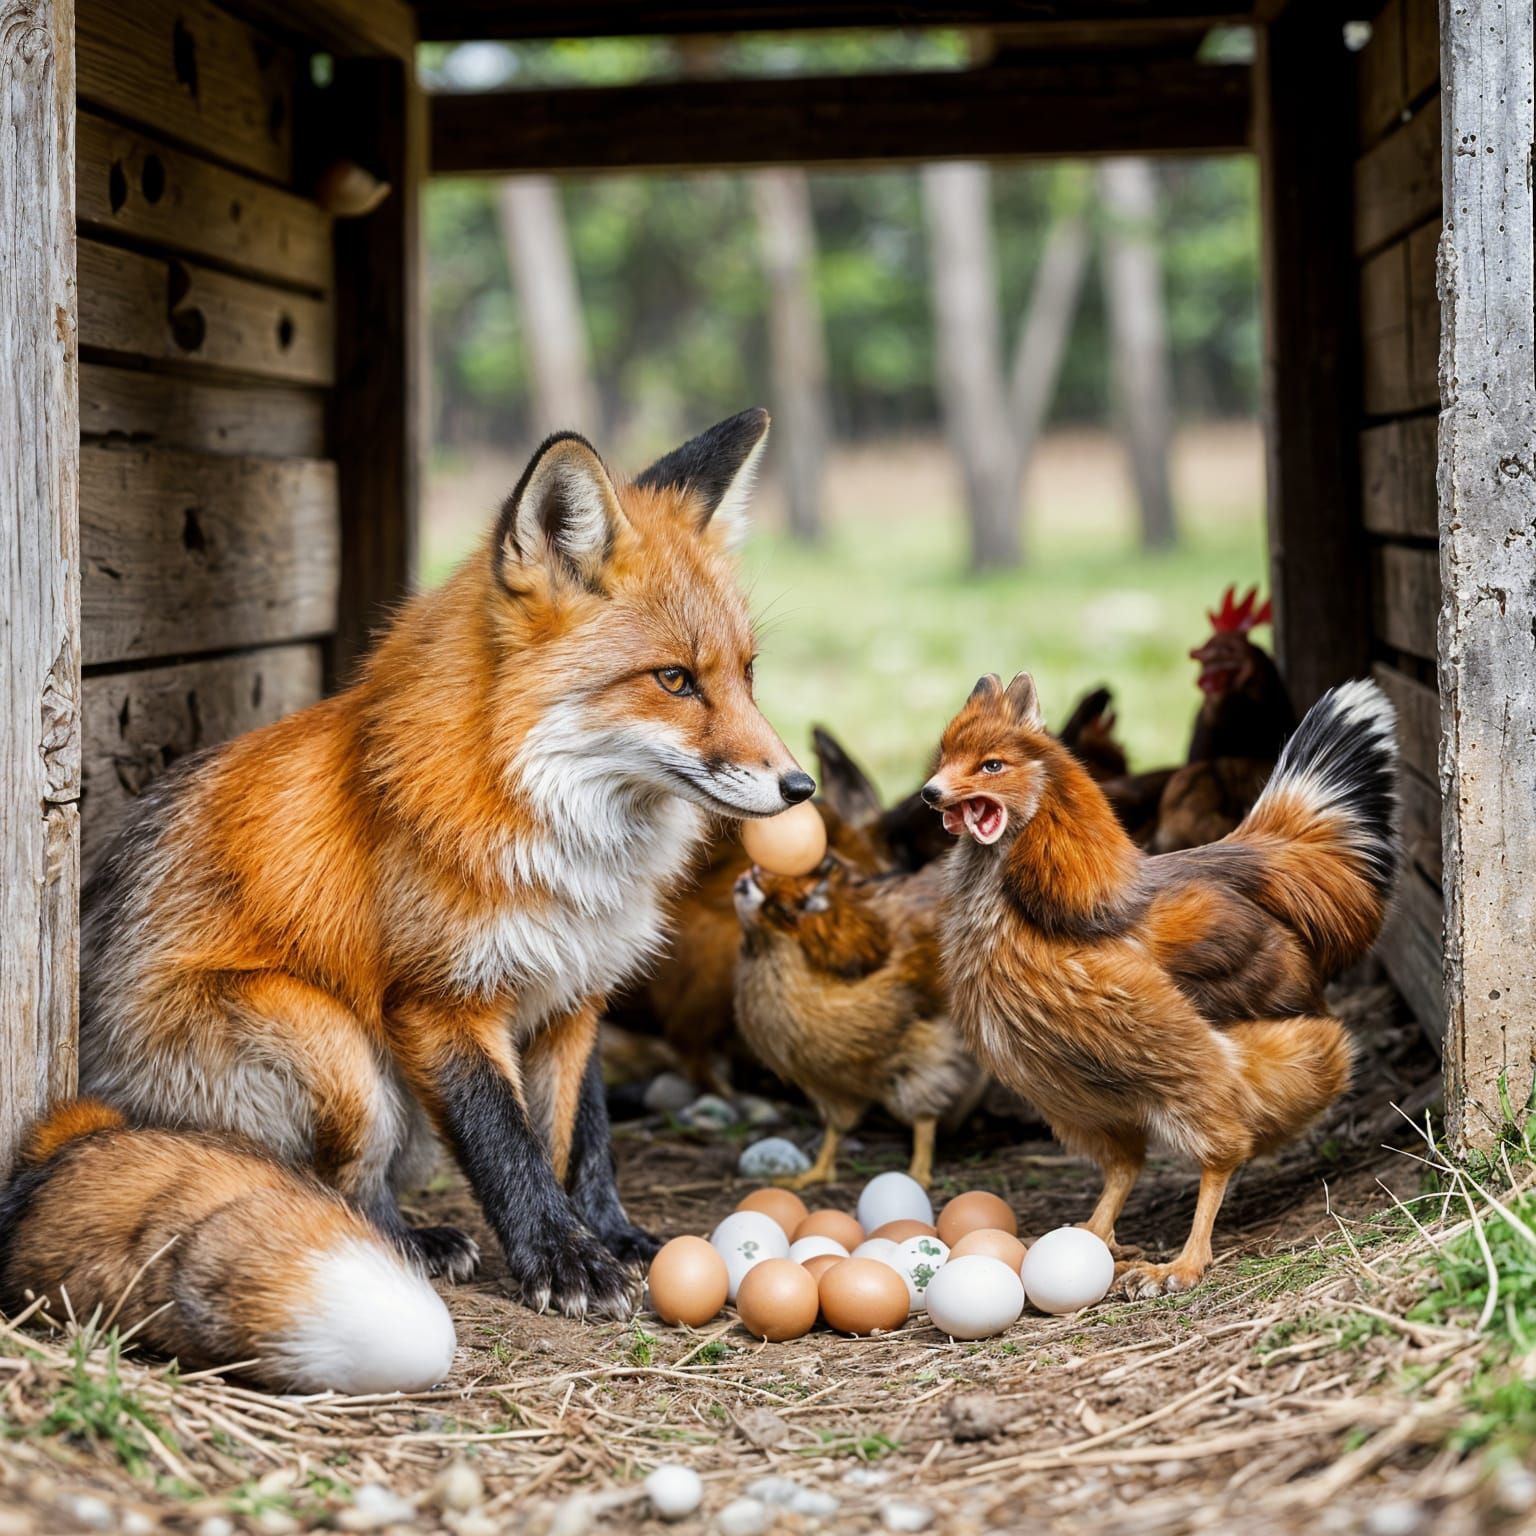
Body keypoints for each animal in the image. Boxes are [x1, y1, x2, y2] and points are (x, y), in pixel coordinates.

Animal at [77, 409, 814, 1321]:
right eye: (674, 679)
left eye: (747, 674)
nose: (800, 787)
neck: (563, 842)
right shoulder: (441, 1000)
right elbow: (506, 1142)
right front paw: (563, 1261)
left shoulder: (575, 993)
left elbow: (581, 1137)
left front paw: (610, 1235)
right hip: (336, 1048)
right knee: (339, 1185)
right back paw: (406, 1244)